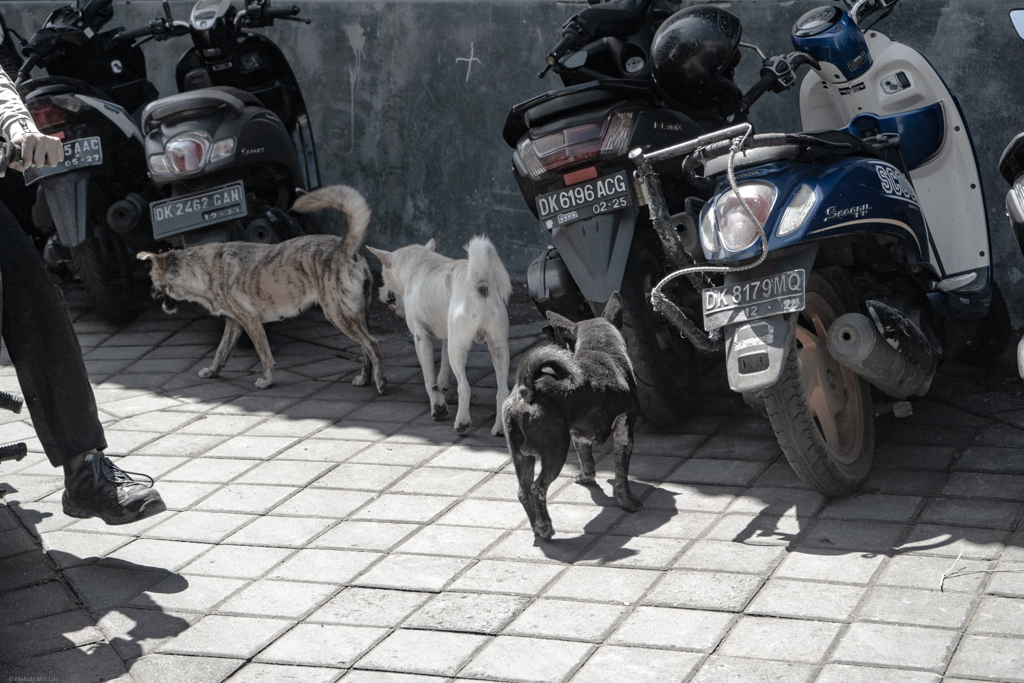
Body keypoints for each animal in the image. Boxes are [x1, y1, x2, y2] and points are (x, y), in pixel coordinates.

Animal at [368, 237, 512, 436]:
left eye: (382, 277)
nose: (380, 292)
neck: (419, 263)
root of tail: (480, 282)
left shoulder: (421, 338)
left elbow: (430, 380)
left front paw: (438, 406)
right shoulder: (447, 337)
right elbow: (443, 366)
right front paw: (443, 386)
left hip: (458, 349)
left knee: (464, 387)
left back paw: (462, 422)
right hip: (498, 348)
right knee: (503, 391)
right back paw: (499, 428)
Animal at [501, 290, 638, 540]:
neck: (600, 349)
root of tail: (527, 391)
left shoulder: (578, 436)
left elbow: (586, 459)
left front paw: (586, 477)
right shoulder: (625, 431)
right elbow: (621, 475)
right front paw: (629, 503)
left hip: (520, 456)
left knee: (523, 491)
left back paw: (537, 528)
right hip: (555, 451)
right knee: (538, 488)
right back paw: (545, 526)